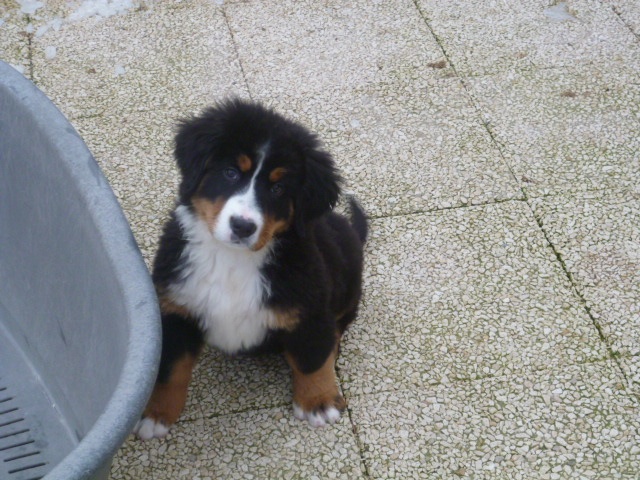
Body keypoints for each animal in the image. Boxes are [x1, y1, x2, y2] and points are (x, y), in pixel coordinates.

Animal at [134, 99, 367, 440]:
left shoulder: (309, 311)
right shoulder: (176, 308)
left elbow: (312, 360)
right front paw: (156, 413)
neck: (232, 260)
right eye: (230, 172)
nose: (242, 226)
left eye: (278, 188)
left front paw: (318, 402)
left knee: (336, 329)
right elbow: (171, 368)